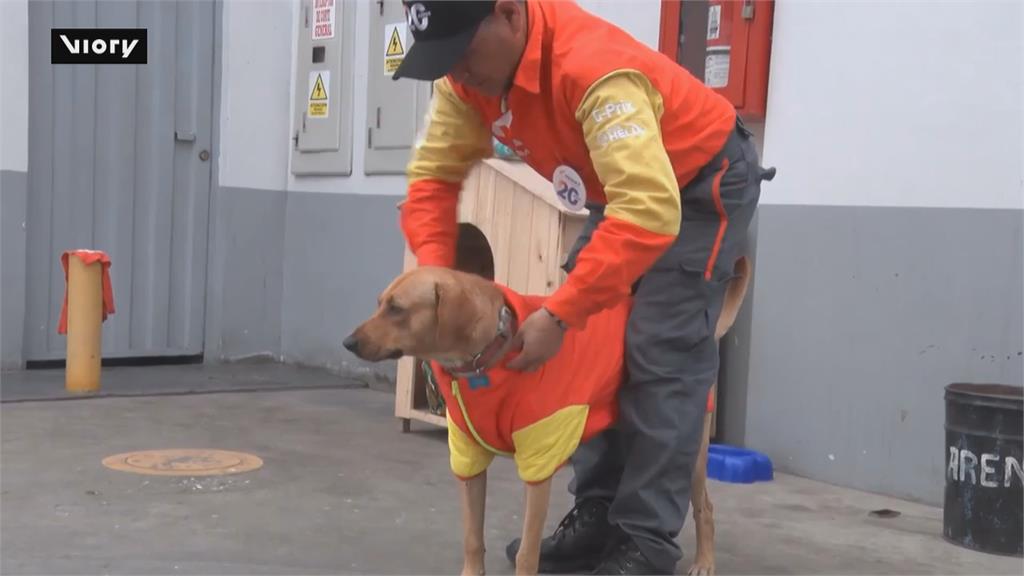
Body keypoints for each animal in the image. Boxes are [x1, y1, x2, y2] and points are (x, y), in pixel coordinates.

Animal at [344, 256, 753, 573]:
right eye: (381, 303)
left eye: (397, 308)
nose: (348, 342)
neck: (486, 359)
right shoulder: (468, 460)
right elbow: (472, 538)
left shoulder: (538, 464)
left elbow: (528, 553)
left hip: (691, 450)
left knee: (704, 507)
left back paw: (702, 562)